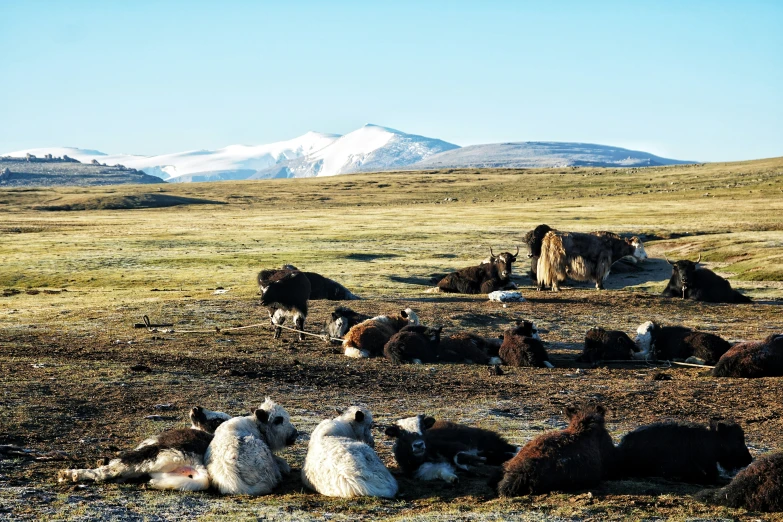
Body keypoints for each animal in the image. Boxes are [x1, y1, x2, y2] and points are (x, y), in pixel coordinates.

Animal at [57, 404, 230, 490]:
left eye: (217, 421)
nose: (196, 409)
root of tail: (196, 461)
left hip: (149, 455)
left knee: (108, 472)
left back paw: (69, 474)